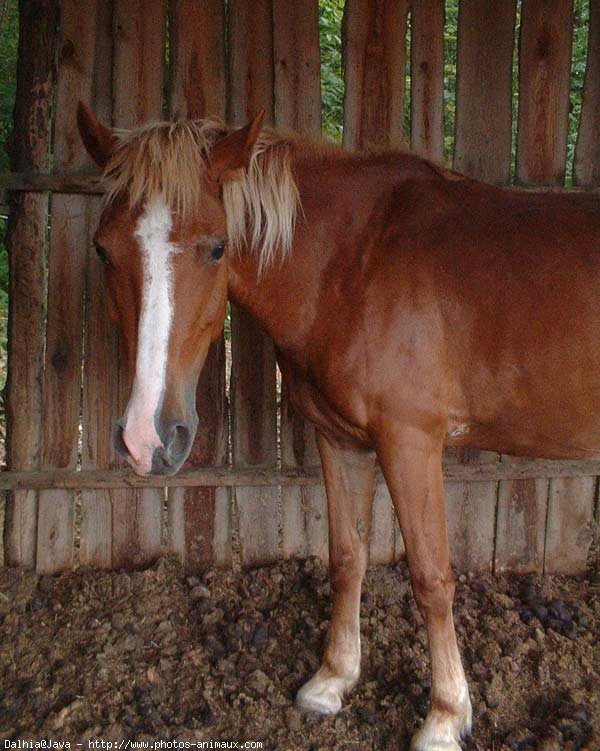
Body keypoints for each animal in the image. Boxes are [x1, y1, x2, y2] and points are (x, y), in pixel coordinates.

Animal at [77, 104, 600, 751]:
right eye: (103, 250)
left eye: (217, 248)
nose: (147, 438)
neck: (354, 262)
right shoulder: (340, 440)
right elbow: (347, 556)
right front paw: (332, 680)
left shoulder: (410, 444)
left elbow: (432, 578)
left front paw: (445, 716)